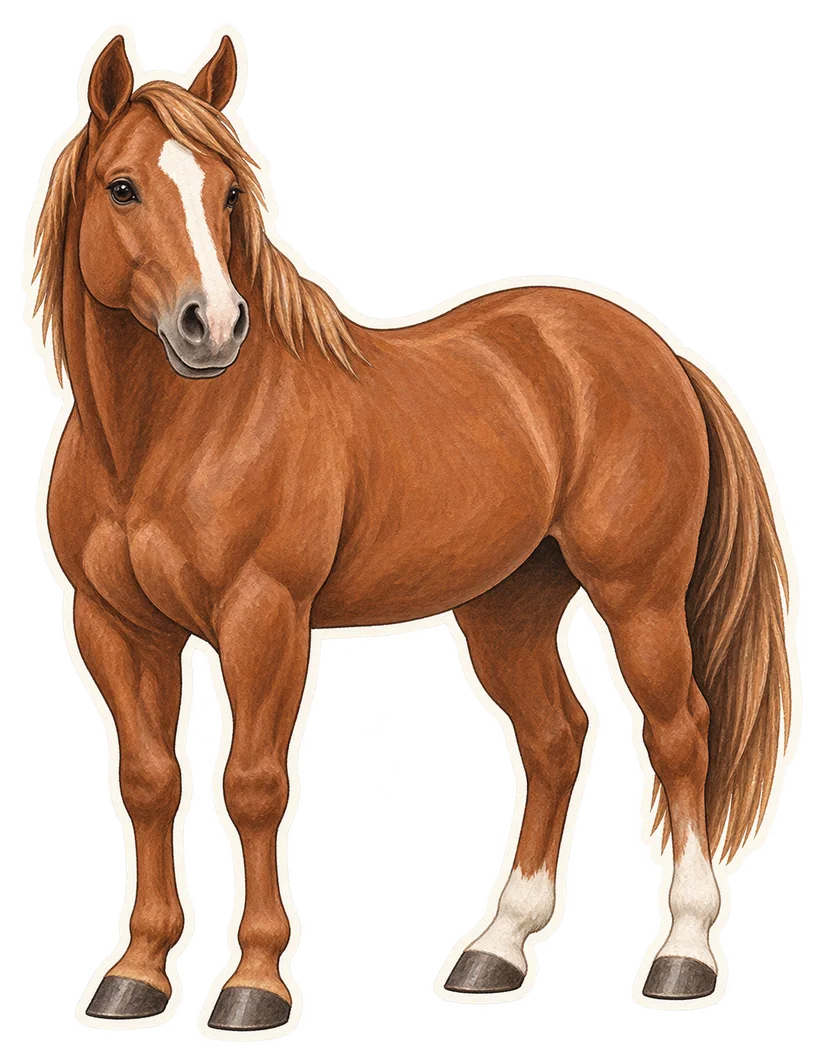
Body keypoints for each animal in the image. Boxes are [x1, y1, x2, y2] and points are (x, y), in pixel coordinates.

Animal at [28, 29, 797, 1033]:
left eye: (228, 192)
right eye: (123, 187)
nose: (213, 325)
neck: (161, 438)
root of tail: (658, 355)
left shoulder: (263, 620)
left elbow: (253, 784)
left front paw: (254, 985)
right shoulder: (115, 627)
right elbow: (150, 782)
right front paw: (138, 973)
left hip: (640, 598)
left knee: (678, 735)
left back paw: (683, 956)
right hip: (508, 606)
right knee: (554, 738)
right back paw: (497, 950)